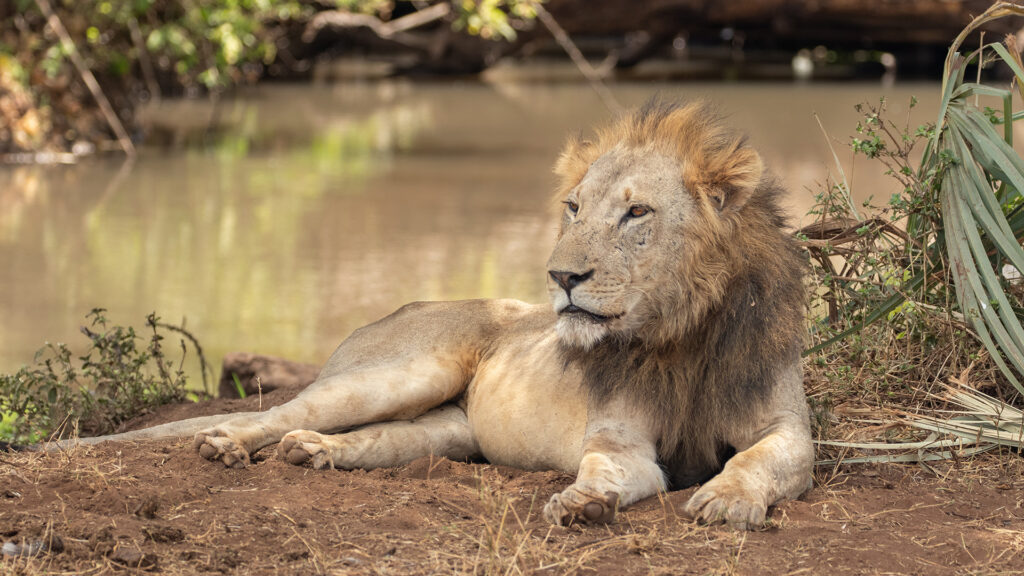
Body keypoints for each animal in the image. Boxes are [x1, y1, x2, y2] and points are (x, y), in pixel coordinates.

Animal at [65, 99, 813, 529]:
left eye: (637, 213)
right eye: (573, 209)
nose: (561, 277)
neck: (681, 336)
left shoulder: (788, 430)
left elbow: (762, 460)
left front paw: (727, 499)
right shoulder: (617, 437)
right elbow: (614, 470)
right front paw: (583, 503)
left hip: (448, 431)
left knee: (379, 440)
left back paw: (315, 454)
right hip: (403, 371)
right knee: (278, 411)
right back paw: (229, 443)